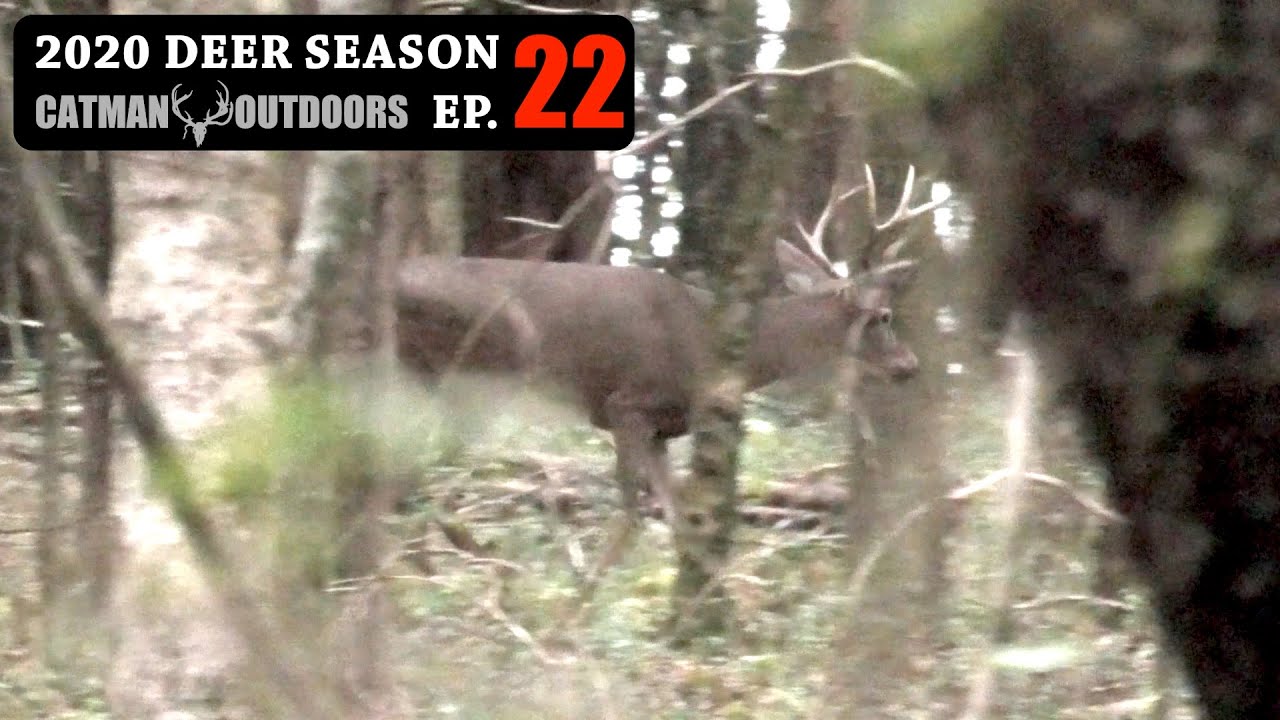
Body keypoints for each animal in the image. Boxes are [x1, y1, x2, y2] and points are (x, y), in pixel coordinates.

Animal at [395, 166, 945, 523]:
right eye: (884, 316)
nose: (910, 364)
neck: (710, 338)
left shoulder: (664, 428)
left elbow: (677, 512)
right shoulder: (626, 403)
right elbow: (633, 510)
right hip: (472, 365)